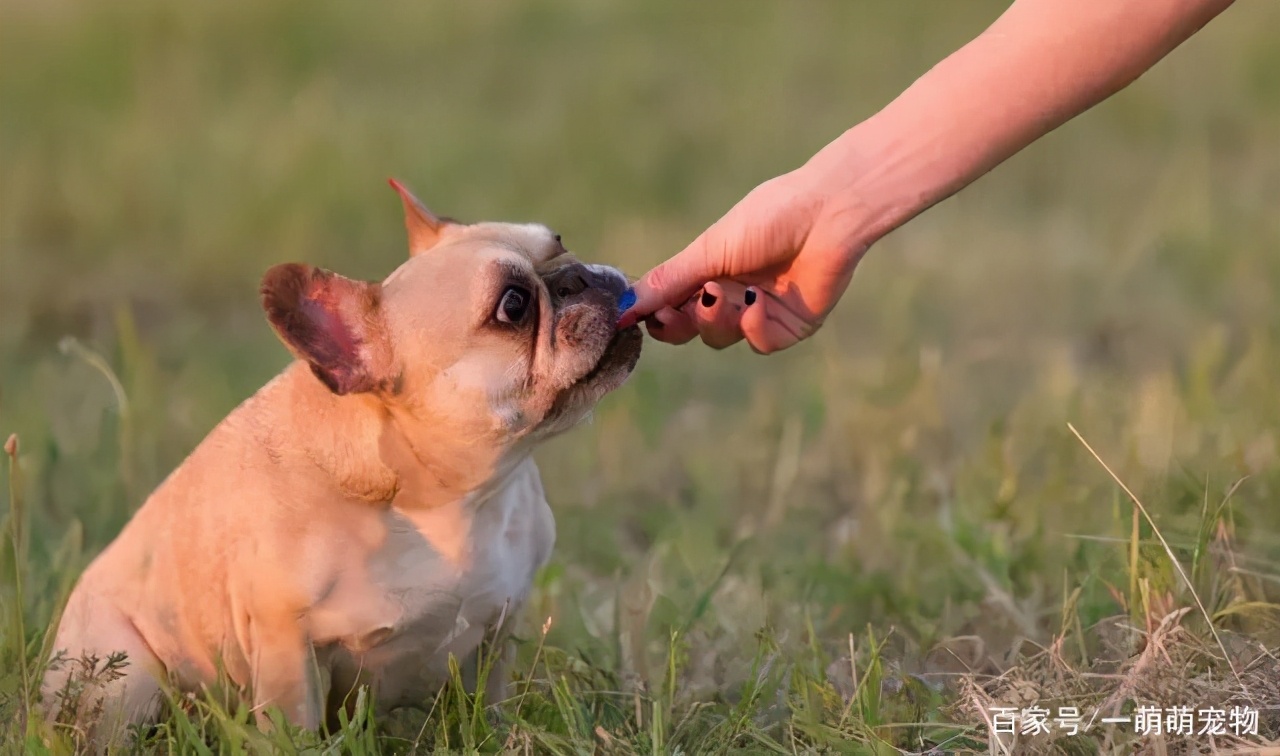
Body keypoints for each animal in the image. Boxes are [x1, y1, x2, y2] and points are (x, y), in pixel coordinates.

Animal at [41, 180, 645, 747]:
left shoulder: (501, 625)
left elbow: (490, 707)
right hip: (128, 679)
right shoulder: (287, 646)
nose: (578, 276)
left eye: (559, 243)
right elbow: (295, 730)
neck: (454, 499)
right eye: (513, 305)